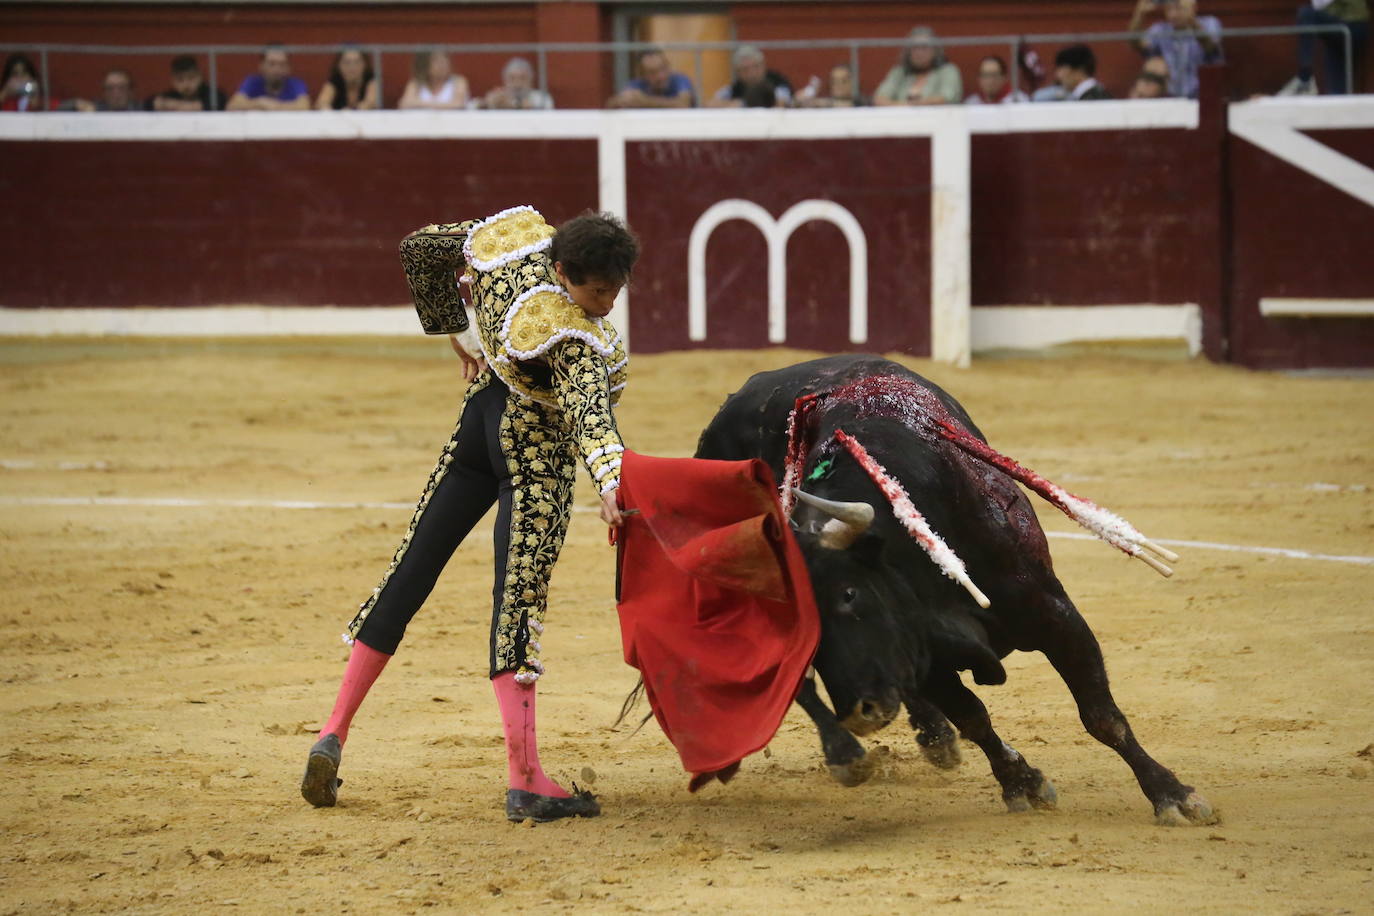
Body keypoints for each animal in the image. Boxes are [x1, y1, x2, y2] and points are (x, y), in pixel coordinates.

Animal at [697, 354, 1214, 829]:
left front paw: (1173, 794)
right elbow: (974, 718)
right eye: (805, 632)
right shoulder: (928, 658)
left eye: (849, 595)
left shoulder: (1054, 614)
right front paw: (1021, 782)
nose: (860, 713)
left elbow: (1101, 715)